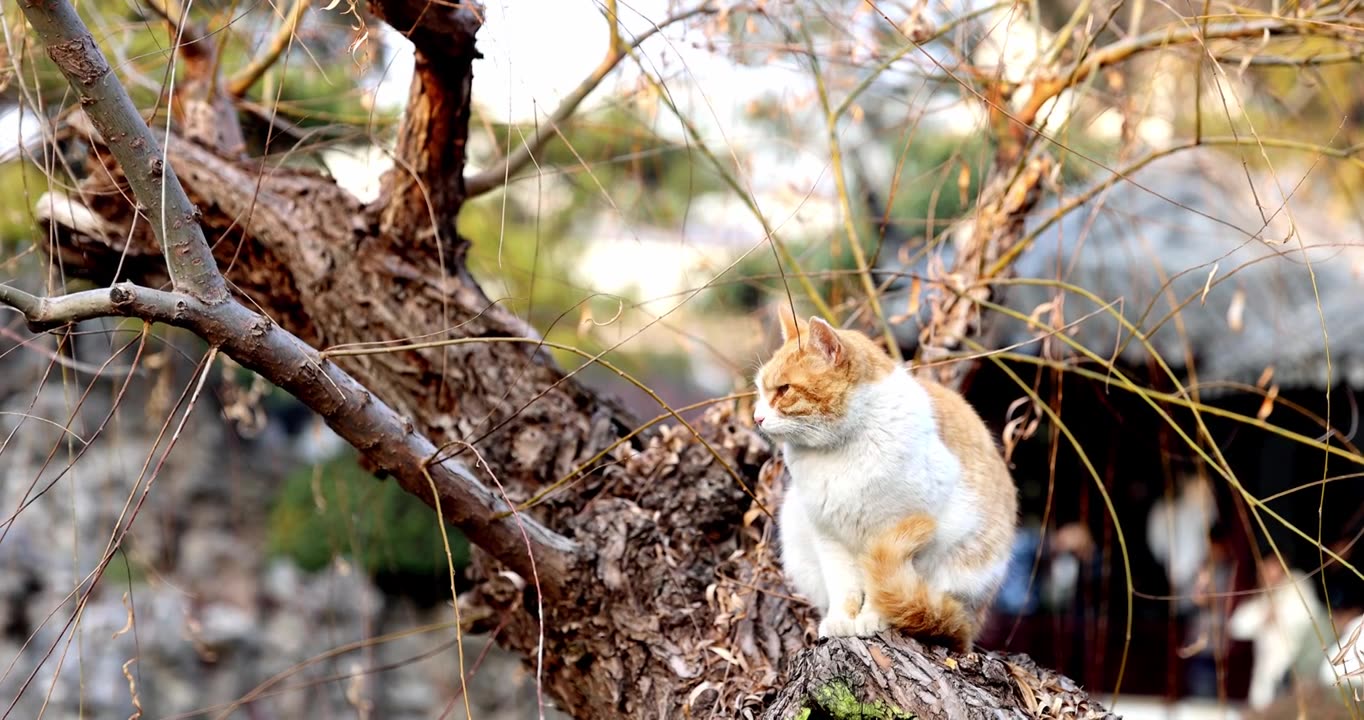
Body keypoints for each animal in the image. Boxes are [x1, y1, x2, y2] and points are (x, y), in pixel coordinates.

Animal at [752, 309, 1020, 651]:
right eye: (760, 391)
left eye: (784, 390)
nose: (757, 417)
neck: (838, 452)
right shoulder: (829, 536)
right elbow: (843, 586)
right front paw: (841, 620)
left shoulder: (903, 532)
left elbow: (884, 586)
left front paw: (873, 618)